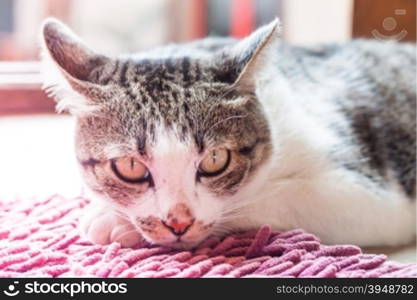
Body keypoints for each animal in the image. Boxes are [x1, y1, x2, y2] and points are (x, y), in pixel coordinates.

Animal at [40, 17, 414, 250]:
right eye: (130, 167)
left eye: (215, 160)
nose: (179, 222)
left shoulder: (371, 198)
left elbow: (270, 198)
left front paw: (113, 221)